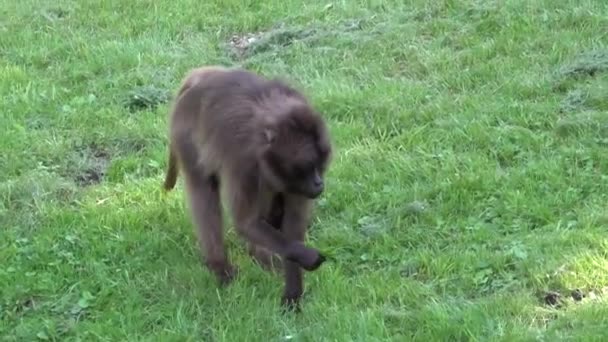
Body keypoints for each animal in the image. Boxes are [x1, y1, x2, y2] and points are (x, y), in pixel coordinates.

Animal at [162, 65, 332, 308]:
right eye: (309, 167)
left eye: (319, 165)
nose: (319, 183)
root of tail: (203, 76)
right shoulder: (245, 165)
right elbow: (246, 223)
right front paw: (307, 258)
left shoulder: (292, 182)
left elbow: (292, 225)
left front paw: (292, 293)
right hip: (185, 132)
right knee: (204, 191)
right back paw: (219, 265)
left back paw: (258, 257)